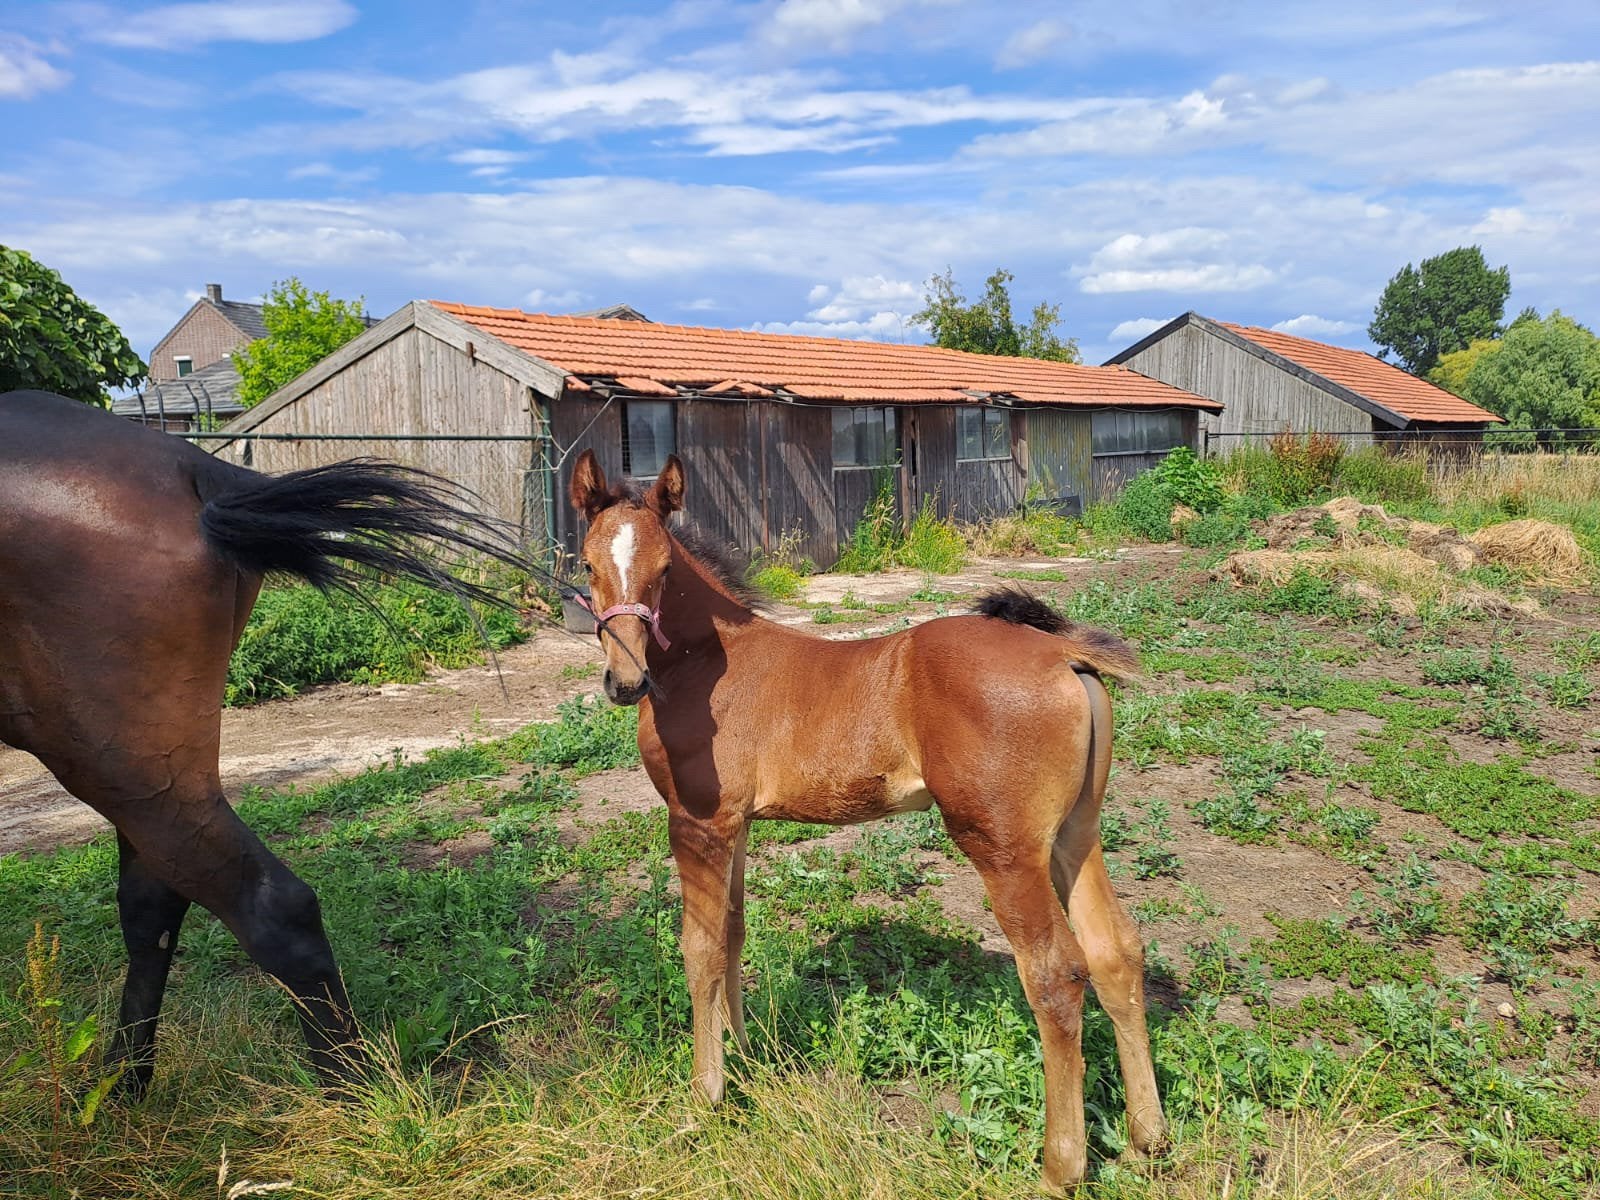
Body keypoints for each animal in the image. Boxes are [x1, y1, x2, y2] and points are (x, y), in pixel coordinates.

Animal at [0, 389, 529, 1095]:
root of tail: (199, 474)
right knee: (155, 908)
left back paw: (352, 1096)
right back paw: (122, 1089)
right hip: (151, 773)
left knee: (269, 907)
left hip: (119, 766)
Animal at [568, 449, 1167, 1191]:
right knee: (1117, 950)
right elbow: (734, 933)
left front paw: (704, 1099)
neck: (705, 667)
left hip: (1003, 845)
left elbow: (699, 949)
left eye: (665, 571)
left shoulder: (697, 823)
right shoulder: (736, 825)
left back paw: (1061, 1167)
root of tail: (1062, 654)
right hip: (1074, 836)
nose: (624, 683)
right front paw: (748, 1058)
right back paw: (1147, 1137)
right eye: (587, 564)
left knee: (1056, 974)